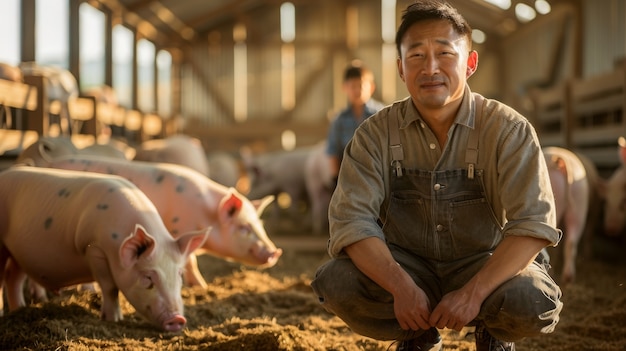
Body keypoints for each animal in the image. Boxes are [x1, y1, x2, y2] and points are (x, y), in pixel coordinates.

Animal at [0, 166, 210, 332]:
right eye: (148, 277)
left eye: (179, 275)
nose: (177, 319)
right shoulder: (94, 249)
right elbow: (110, 287)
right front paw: (113, 319)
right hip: (3, 245)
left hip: (19, 252)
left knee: (13, 278)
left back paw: (18, 309)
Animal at [19, 154, 282, 288]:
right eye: (244, 228)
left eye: (260, 225)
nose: (275, 252)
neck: (204, 213)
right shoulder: (178, 231)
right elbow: (191, 262)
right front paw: (202, 287)